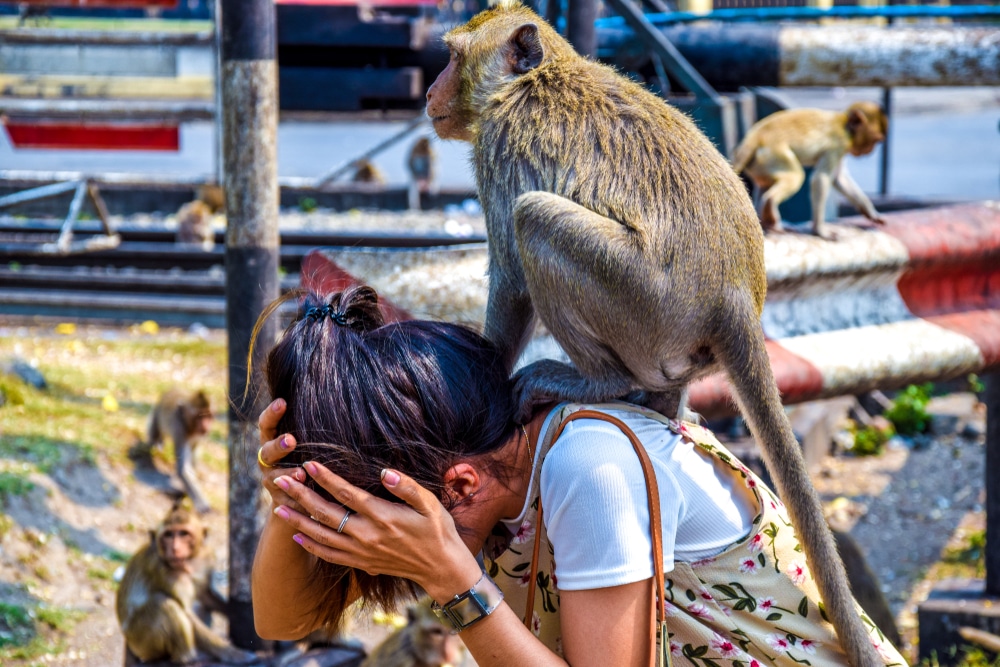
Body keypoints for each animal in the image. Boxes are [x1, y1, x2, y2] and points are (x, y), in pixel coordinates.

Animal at [139, 388, 215, 516]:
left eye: (208, 417)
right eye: (200, 417)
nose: (206, 427)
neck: (189, 426)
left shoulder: (198, 437)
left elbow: (193, 458)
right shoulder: (180, 431)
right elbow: (183, 469)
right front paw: (201, 503)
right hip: (156, 414)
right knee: (155, 432)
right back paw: (155, 444)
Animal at [732, 102, 888, 240]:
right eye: (876, 140)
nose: (869, 151)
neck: (845, 125)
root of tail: (755, 136)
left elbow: (839, 179)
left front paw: (871, 213)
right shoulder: (839, 143)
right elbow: (821, 178)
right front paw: (819, 231)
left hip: (759, 165)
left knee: (765, 184)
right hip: (774, 155)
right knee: (795, 176)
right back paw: (770, 204)